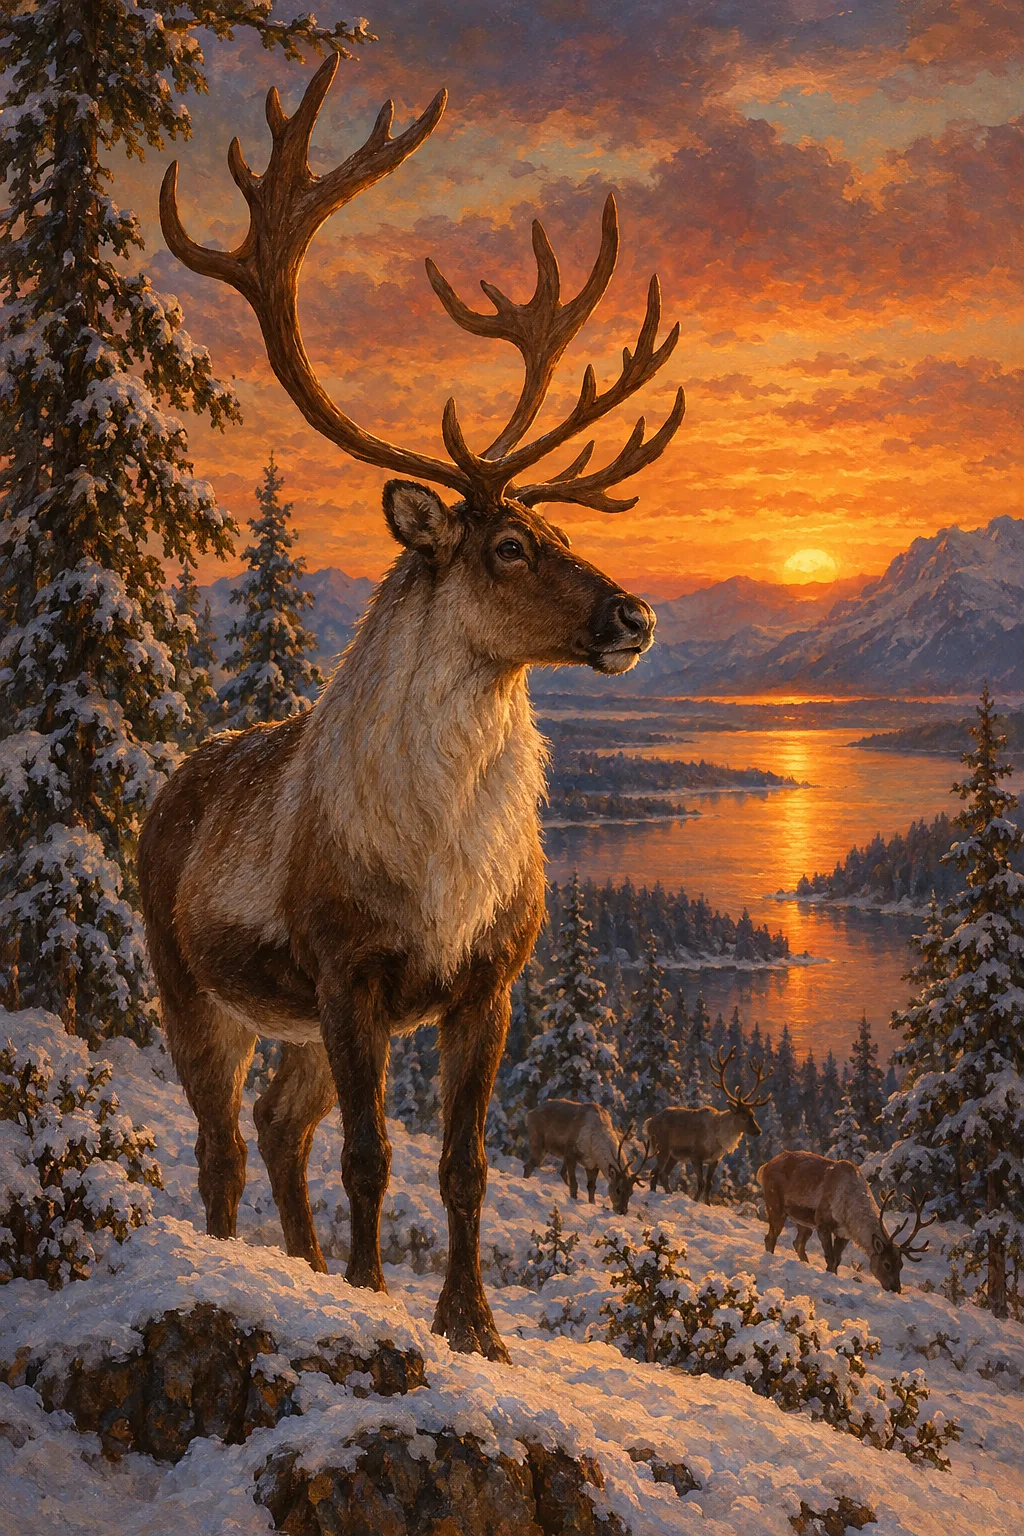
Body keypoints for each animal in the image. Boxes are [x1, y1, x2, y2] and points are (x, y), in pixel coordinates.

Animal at [522, 1101, 651, 1214]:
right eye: (618, 1189)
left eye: (631, 1192)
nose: (622, 1211)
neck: (593, 1144)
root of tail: (529, 1113)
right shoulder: (570, 1154)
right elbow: (574, 1184)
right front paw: (574, 1199)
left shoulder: (592, 1165)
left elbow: (591, 1187)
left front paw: (592, 1204)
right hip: (538, 1143)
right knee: (528, 1166)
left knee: (558, 1172)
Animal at [646, 1047, 771, 1202]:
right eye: (743, 1117)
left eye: (752, 1114)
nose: (758, 1131)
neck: (718, 1138)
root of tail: (649, 1122)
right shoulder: (695, 1157)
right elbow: (700, 1183)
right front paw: (695, 1201)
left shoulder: (714, 1160)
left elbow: (709, 1184)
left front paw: (707, 1203)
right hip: (662, 1147)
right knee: (654, 1172)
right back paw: (653, 1193)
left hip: (673, 1156)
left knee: (663, 1174)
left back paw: (667, 1193)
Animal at [758, 1151, 935, 1292]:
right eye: (886, 1264)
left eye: (901, 1265)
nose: (896, 1289)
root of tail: (764, 1166)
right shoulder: (822, 1222)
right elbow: (830, 1258)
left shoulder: (844, 1234)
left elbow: (837, 1260)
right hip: (776, 1205)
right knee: (770, 1238)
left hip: (802, 1221)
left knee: (798, 1243)